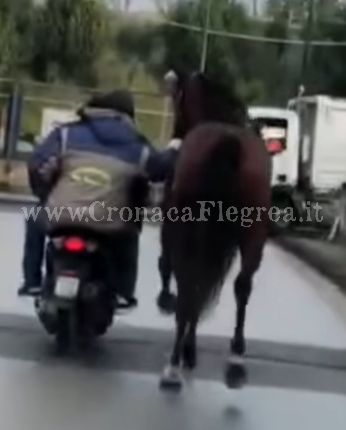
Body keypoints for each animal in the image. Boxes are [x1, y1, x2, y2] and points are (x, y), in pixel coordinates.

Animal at [158, 71, 272, 390]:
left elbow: (171, 270)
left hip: (189, 232)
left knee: (188, 284)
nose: (176, 132)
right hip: (253, 233)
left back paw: (173, 365)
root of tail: (229, 142)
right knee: (241, 286)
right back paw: (235, 362)